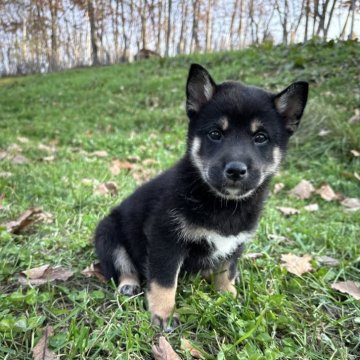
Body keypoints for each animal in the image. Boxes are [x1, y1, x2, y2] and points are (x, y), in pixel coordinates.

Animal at [94, 64, 308, 330]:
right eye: (215, 134)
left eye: (260, 137)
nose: (235, 170)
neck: (222, 203)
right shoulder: (166, 239)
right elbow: (164, 281)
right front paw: (164, 314)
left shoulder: (235, 243)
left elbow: (227, 270)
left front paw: (228, 294)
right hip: (108, 234)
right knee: (123, 265)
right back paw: (128, 284)